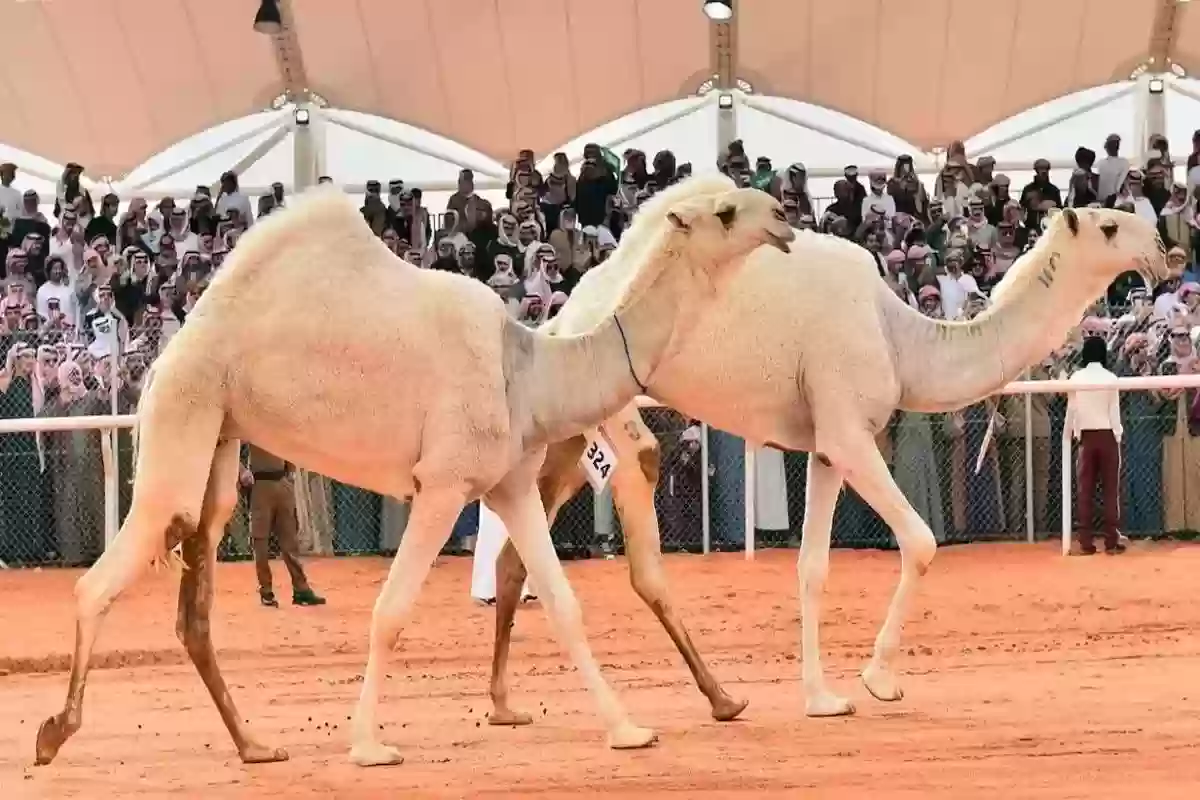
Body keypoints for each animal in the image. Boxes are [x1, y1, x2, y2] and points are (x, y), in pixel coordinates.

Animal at [30, 176, 796, 767]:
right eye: (726, 211)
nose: (785, 217)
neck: (531, 370)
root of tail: (175, 349)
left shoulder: (508, 483)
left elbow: (561, 602)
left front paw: (629, 730)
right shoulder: (444, 484)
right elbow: (391, 609)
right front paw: (369, 745)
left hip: (220, 438)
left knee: (195, 596)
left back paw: (255, 746)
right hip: (182, 410)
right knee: (105, 576)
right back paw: (54, 733)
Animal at [482, 206, 1166, 724]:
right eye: (1110, 226)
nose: (1162, 249)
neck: (899, 337)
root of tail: (564, 317)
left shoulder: (828, 447)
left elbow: (812, 567)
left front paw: (822, 697)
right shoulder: (851, 432)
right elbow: (921, 541)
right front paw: (878, 679)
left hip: (564, 437)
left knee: (515, 553)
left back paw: (506, 705)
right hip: (613, 419)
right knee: (642, 541)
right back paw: (719, 699)